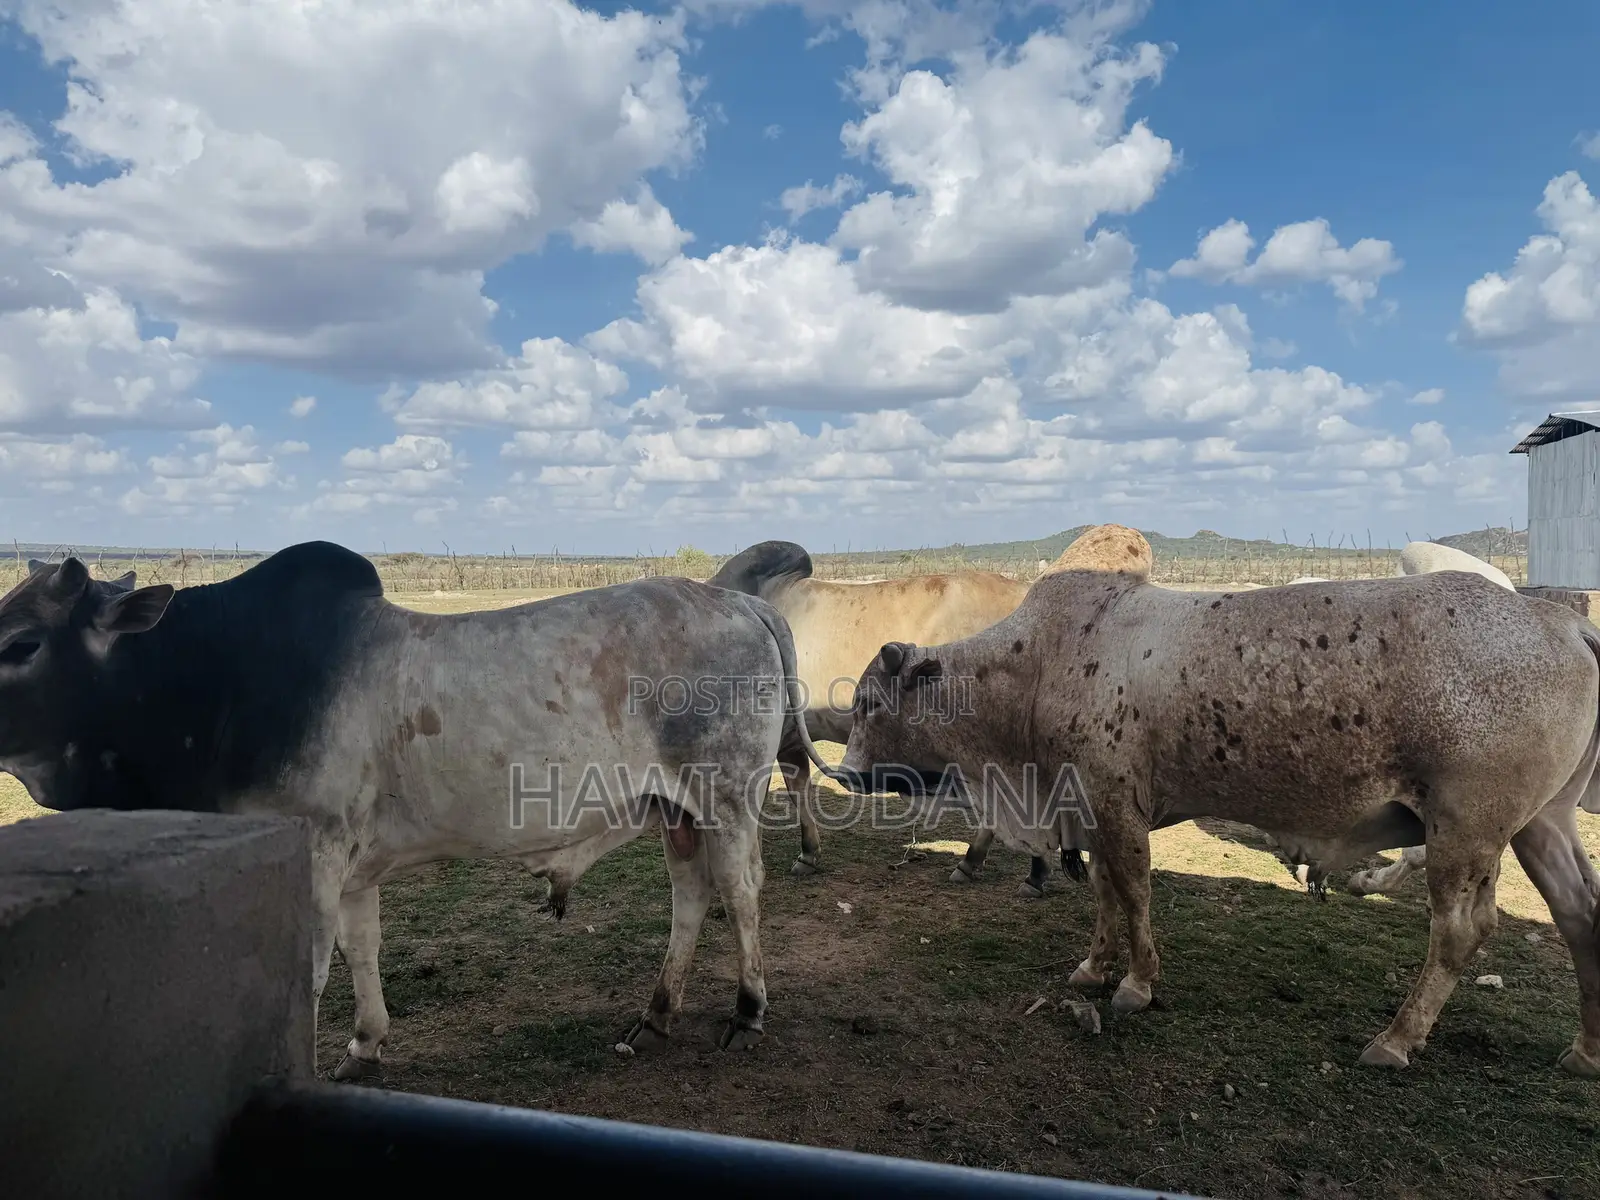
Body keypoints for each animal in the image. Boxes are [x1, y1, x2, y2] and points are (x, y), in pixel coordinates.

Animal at [0, 542, 827, 1080]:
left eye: (21, 644)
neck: (217, 681)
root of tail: (741, 601)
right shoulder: (353, 868)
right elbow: (362, 949)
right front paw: (366, 1046)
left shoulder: (313, 852)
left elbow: (311, 972)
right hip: (675, 810)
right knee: (691, 894)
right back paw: (655, 1015)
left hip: (726, 796)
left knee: (742, 891)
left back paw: (747, 1010)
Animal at [803, 540, 1600, 1075]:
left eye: (871, 702)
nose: (850, 773)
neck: (1037, 667)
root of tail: (1560, 622)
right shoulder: (1090, 807)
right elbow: (1104, 891)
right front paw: (1094, 966)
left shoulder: (1118, 803)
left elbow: (1133, 892)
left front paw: (1136, 982)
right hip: (1542, 824)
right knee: (1580, 915)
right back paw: (1585, 1049)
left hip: (1467, 826)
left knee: (1461, 930)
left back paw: (1398, 1038)